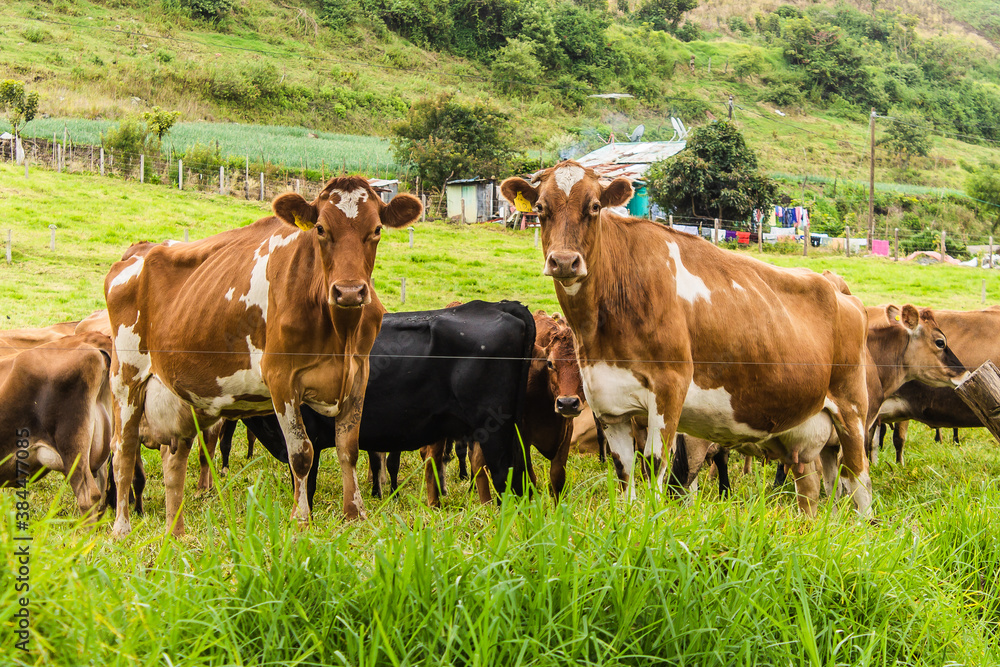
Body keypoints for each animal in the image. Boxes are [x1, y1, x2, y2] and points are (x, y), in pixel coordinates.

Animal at [107, 177, 420, 536]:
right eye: (321, 229)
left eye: (377, 229)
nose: (350, 291)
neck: (340, 332)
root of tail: (140, 249)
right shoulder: (281, 379)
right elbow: (301, 453)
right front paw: (301, 518)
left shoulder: (358, 374)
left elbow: (348, 447)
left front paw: (355, 512)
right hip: (126, 378)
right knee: (124, 448)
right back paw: (121, 527)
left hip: (181, 394)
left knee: (175, 457)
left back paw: (177, 530)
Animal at [504, 162, 872, 516]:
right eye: (540, 208)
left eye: (594, 207)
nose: (564, 261)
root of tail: (838, 290)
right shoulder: (607, 401)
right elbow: (625, 472)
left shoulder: (670, 386)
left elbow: (655, 464)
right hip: (811, 434)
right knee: (819, 486)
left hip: (851, 409)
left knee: (859, 479)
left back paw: (863, 525)